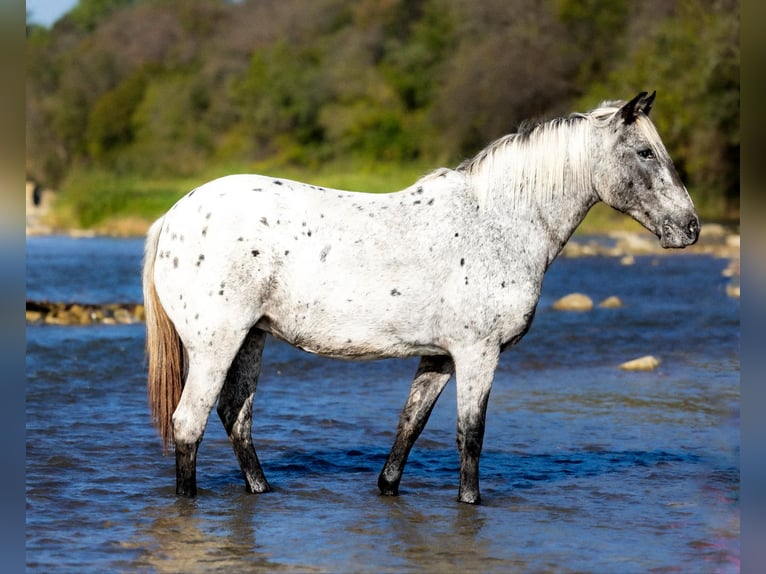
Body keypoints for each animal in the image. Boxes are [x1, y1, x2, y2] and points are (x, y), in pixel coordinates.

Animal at [143, 92, 699, 502]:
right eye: (646, 153)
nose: (690, 228)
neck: (497, 223)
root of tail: (173, 216)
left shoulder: (440, 356)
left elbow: (410, 425)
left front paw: (387, 487)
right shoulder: (478, 354)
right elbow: (470, 434)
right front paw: (470, 502)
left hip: (251, 339)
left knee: (235, 417)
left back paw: (261, 490)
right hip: (217, 344)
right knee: (189, 423)